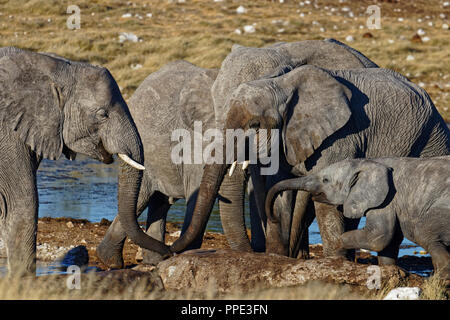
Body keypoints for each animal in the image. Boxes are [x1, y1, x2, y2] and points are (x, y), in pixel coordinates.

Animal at [96, 60, 227, 268]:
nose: (172, 251)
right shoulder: (195, 139)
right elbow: (196, 191)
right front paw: (190, 257)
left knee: (159, 202)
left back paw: (152, 260)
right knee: (142, 199)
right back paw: (113, 261)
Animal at [170, 63, 450, 264]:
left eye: (254, 125)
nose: (170, 249)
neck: (279, 85)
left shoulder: (341, 136)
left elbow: (327, 199)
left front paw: (333, 262)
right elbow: (279, 190)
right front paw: (276, 257)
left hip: (431, 137)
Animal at [266, 156, 450, 282]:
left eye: (325, 180)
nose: (273, 218)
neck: (371, 162)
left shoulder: (386, 199)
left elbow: (379, 236)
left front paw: (338, 252)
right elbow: (389, 241)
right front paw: (390, 271)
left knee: (424, 234)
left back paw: (441, 279)